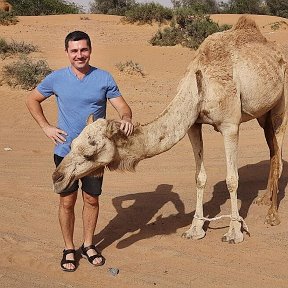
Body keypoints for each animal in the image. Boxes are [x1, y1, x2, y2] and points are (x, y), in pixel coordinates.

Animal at [52, 16, 288, 243]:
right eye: (72, 144)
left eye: (90, 152)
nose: (57, 177)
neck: (199, 86)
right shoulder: (193, 125)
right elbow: (199, 177)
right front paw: (194, 229)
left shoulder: (230, 125)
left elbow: (232, 179)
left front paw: (234, 232)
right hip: (262, 113)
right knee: (272, 149)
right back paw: (263, 199)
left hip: (280, 103)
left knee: (278, 148)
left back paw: (272, 215)